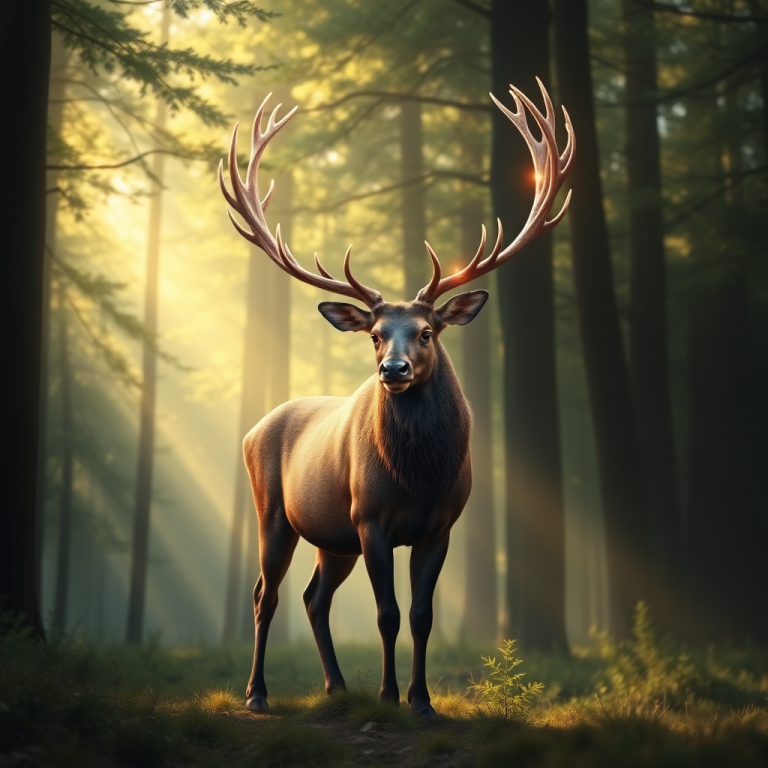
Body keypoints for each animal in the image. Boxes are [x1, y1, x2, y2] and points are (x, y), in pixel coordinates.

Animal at [219, 79, 574, 719]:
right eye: (376, 334)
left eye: (428, 332)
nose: (393, 370)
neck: (418, 477)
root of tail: (254, 429)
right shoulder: (371, 519)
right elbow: (386, 615)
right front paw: (387, 696)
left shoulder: (441, 524)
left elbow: (423, 615)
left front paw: (422, 701)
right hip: (275, 512)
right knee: (266, 594)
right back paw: (258, 693)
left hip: (332, 538)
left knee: (313, 596)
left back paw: (335, 686)